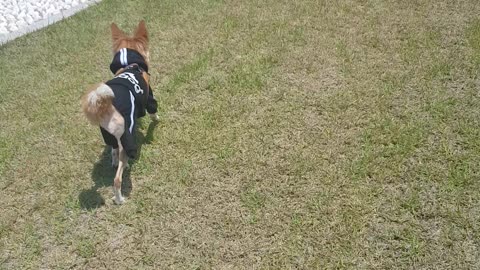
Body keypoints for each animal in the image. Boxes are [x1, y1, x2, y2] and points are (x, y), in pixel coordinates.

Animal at [81, 21, 158, 205]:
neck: (128, 65)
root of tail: (106, 106)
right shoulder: (149, 96)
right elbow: (153, 110)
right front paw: (156, 120)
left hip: (109, 135)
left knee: (114, 152)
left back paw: (116, 162)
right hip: (126, 137)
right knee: (117, 179)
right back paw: (120, 199)